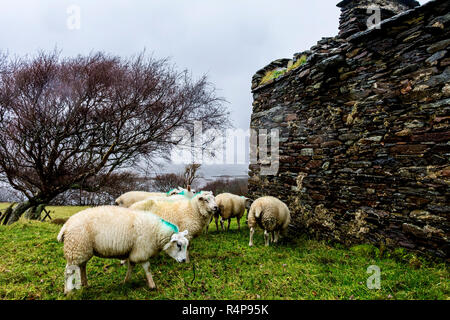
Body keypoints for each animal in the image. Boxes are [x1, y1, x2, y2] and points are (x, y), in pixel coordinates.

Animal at [56, 206, 190, 294]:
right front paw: (152, 285)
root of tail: (66, 225)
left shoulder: (134, 251)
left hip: (81, 250)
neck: (157, 233)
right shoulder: (142, 250)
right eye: (178, 245)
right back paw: (67, 291)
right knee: (68, 271)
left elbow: (131, 265)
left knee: (82, 266)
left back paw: (85, 284)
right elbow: (147, 268)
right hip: (75, 248)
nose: (184, 260)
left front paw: (126, 281)